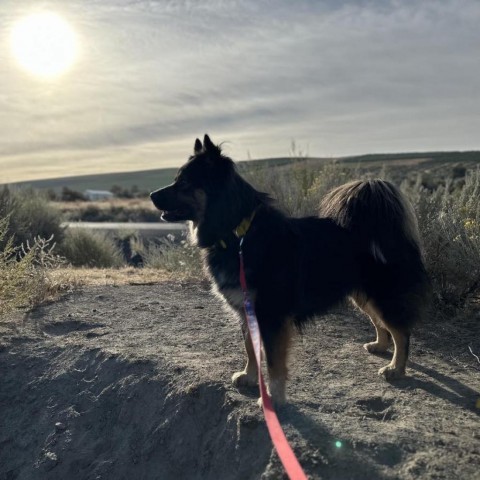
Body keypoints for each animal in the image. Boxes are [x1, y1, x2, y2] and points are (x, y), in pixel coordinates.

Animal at [149, 135, 428, 404]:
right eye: (176, 179)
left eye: (184, 182)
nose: (151, 195)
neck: (238, 234)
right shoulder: (247, 311)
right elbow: (251, 350)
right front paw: (250, 377)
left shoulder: (271, 316)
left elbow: (274, 362)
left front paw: (274, 397)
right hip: (361, 295)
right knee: (382, 324)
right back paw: (380, 346)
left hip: (383, 295)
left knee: (402, 331)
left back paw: (396, 368)